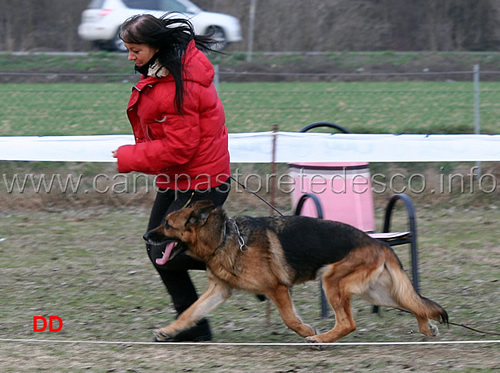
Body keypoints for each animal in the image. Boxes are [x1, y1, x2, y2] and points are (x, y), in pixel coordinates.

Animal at [143, 201, 448, 342]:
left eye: (167, 224)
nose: (145, 236)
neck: (222, 237)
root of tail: (379, 242)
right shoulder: (220, 290)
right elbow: (190, 312)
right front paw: (168, 331)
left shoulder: (277, 289)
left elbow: (289, 319)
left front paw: (305, 330)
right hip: (377, 293)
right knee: (413, 304)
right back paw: (426, 327)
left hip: (332, 281)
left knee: (348, 323)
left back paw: (320, 339)